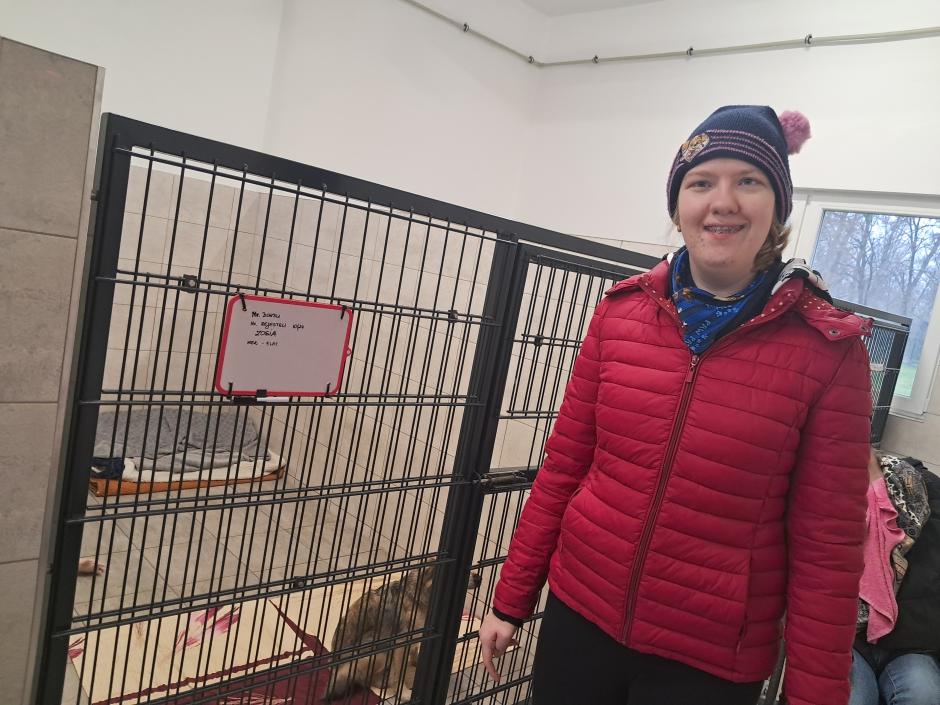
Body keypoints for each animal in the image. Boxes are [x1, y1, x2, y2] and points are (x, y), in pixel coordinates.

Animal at [322, 568, 482, 701]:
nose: (479, 578)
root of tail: (336, 670)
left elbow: (415, 651)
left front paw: (417, 662)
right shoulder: (399, 644)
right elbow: (399, 675)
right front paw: (404, 694)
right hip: (379, 647)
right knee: (366, 680)